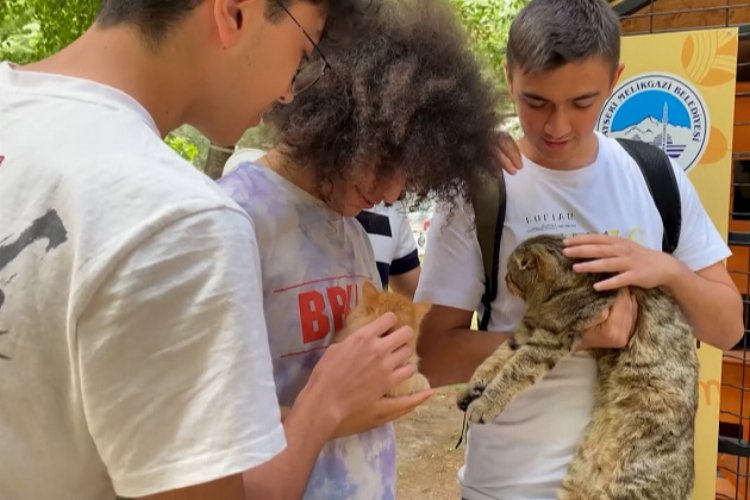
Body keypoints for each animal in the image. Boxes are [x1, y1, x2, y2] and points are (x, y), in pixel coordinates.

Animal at [458, 235, 700, 500]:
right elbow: (497, 356)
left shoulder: (547, 341)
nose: (503, 281)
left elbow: (512, 372)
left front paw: (484, 403)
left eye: (510, 275)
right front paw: (476, 383)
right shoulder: (526, 331)